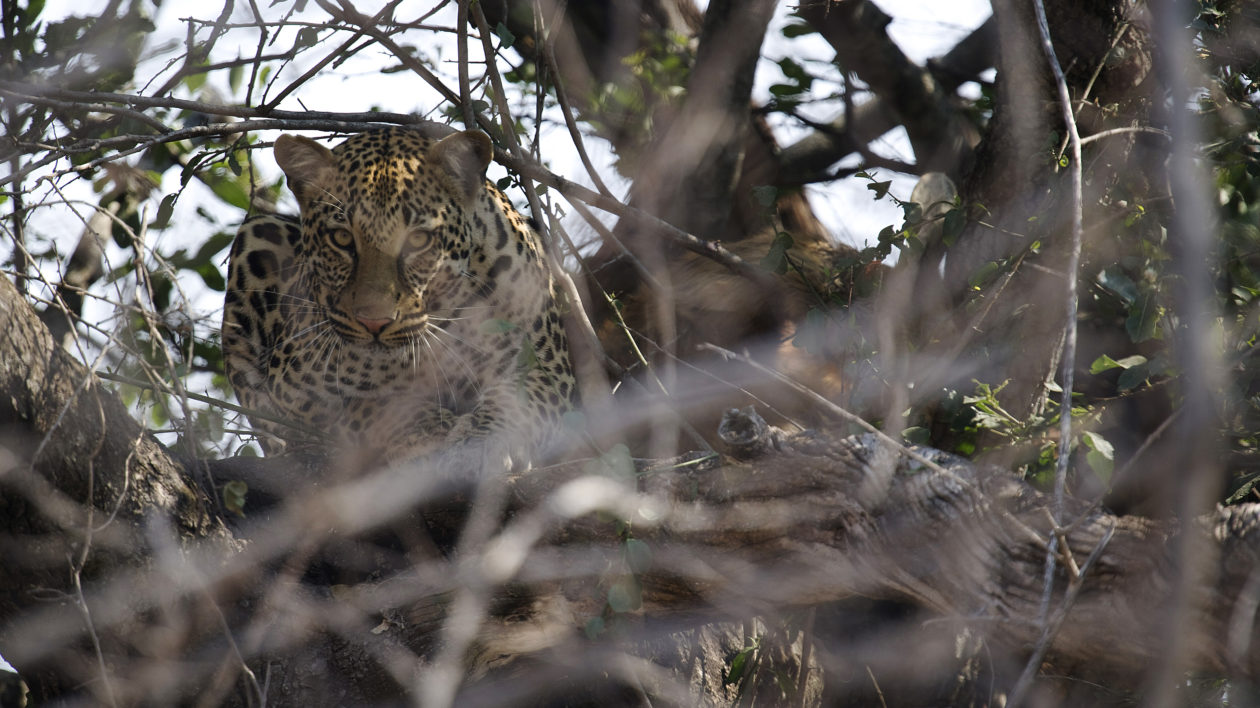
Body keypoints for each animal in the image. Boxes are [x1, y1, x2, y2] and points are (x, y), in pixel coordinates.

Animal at [221, 126, 577, 468]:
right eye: (341, 238)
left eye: (418, 240)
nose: (374, 323)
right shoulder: (292, 385)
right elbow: (371, 404)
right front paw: (424, 434)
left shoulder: (550, 370)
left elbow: (518, 400)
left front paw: (482, 443)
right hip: (257, 232)